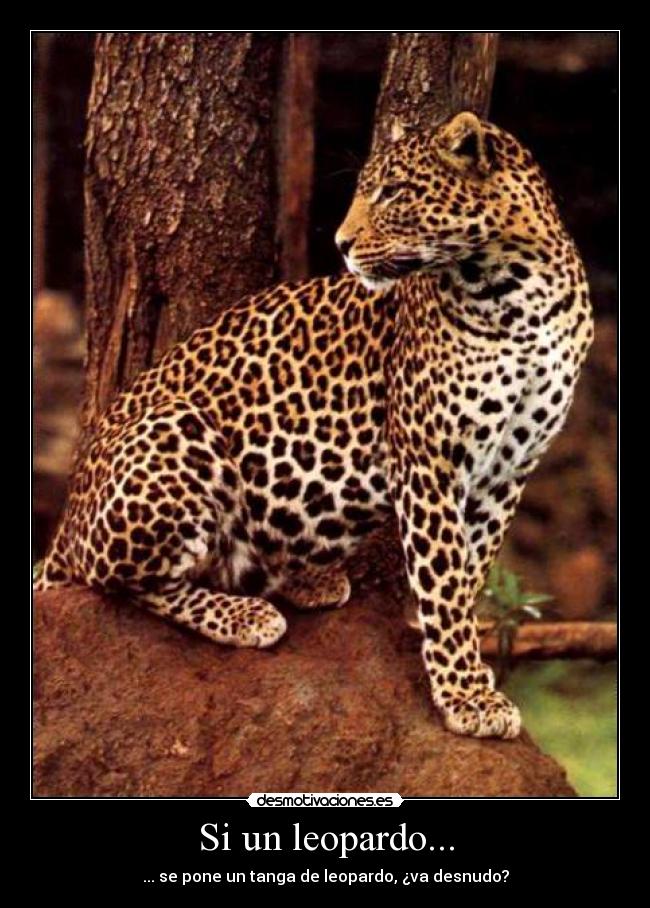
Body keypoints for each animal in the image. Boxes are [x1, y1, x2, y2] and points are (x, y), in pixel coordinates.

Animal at [35, 111, 593, 739]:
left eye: (393, 192)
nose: (341, 245)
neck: (518, 292)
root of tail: (66, 520)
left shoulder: (510, 469)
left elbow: (468, 573)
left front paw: (461, 665)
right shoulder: (428, 459)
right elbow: (446, 581)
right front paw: (467, 696)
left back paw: (307, 582)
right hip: (177, 431)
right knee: (113, 580)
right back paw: (245, 614)